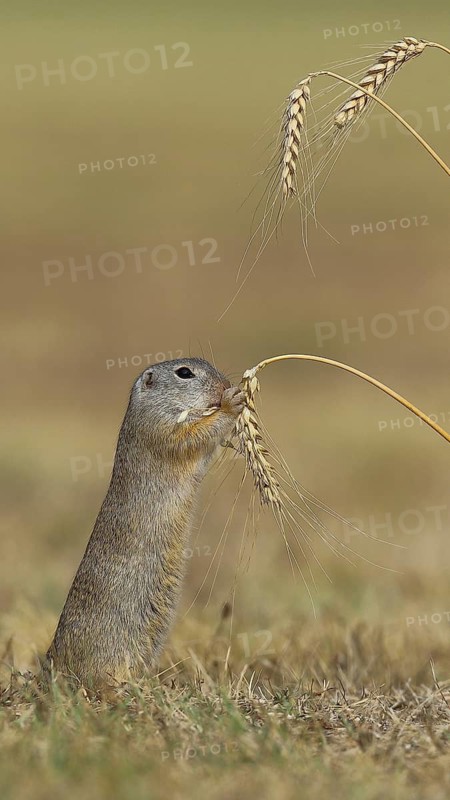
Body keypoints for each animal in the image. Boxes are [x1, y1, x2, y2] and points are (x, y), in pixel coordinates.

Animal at [45, 357, 245, 690]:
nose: (225, 384)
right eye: (184, 373)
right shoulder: (161, 429)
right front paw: (233, 401)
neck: (149, 406)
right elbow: (192, 436)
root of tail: (52, 664)